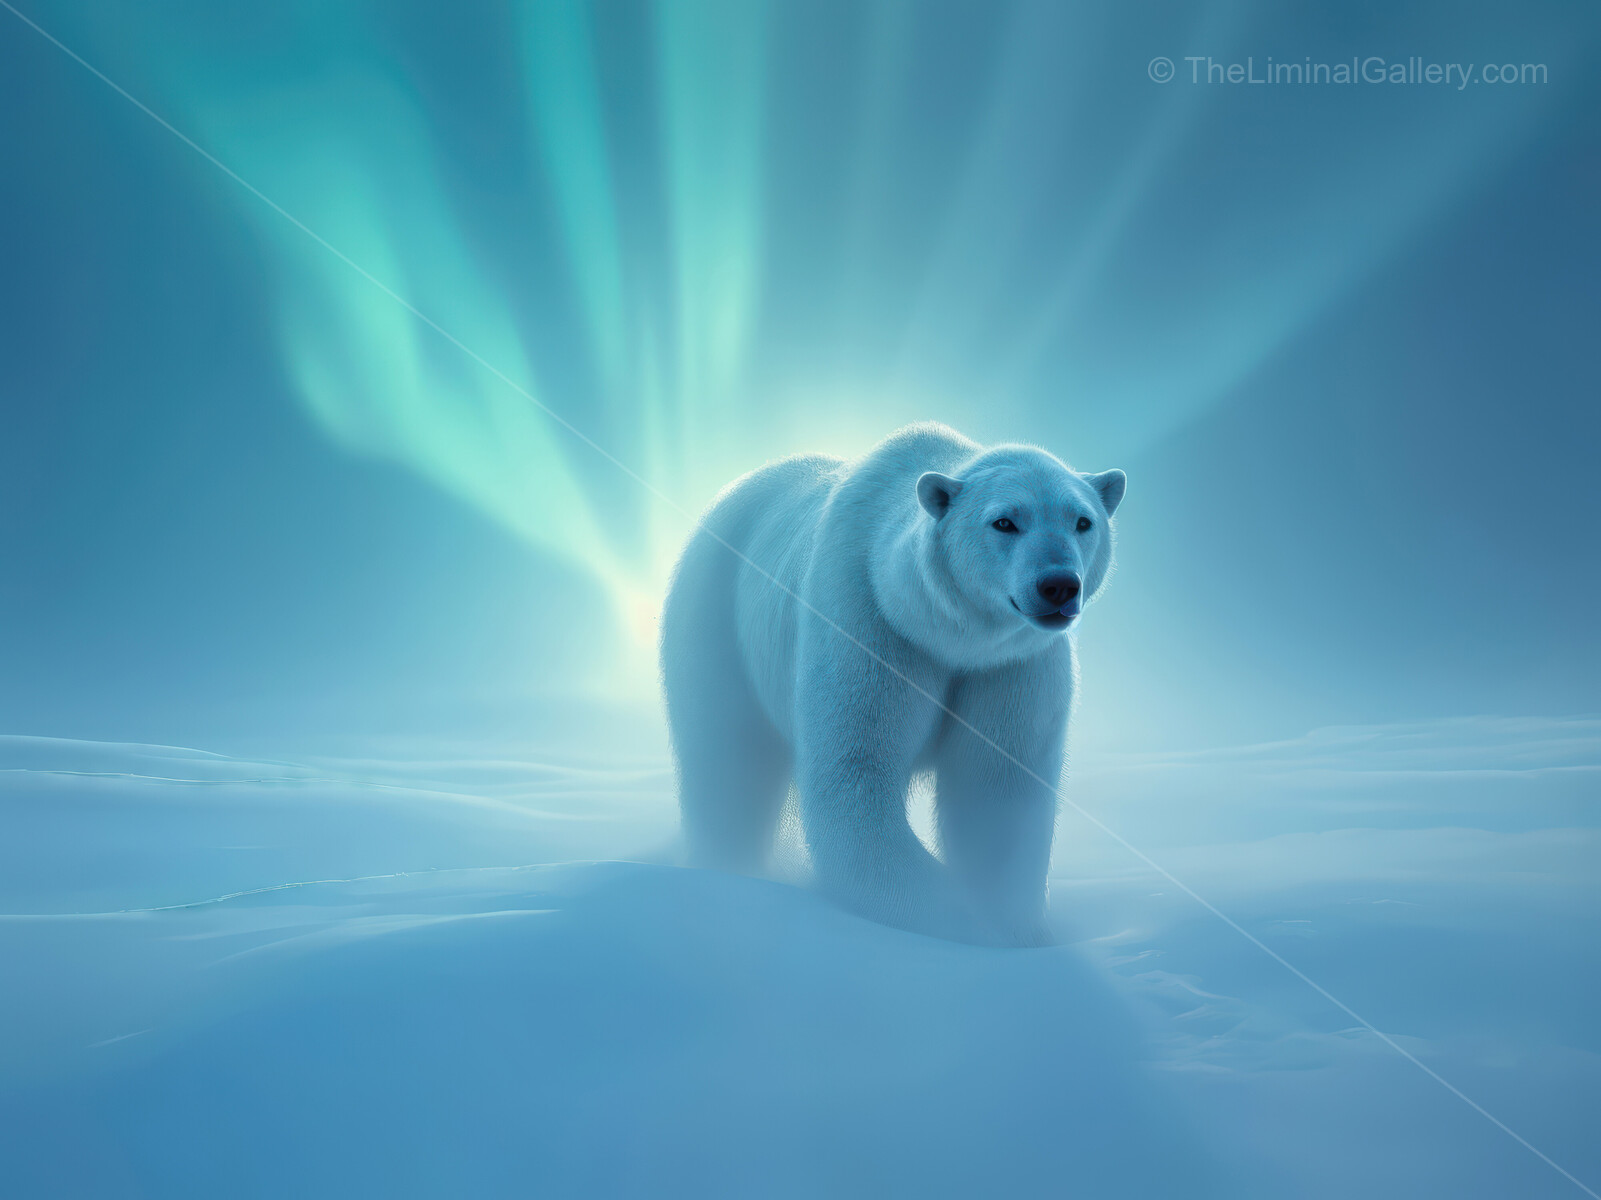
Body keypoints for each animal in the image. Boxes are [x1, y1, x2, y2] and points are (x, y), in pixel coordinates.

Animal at [660, 422, 1126, 945]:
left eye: (1082, 521)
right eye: (1005, 522)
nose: (1058, 586)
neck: (944, 632)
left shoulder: (1009, 666)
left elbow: (998, 790)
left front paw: (1015, 925)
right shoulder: (870, 625)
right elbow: (855, 776)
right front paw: (957, 918)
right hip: (715, 613)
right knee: (725, 757)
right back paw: (724, 870)